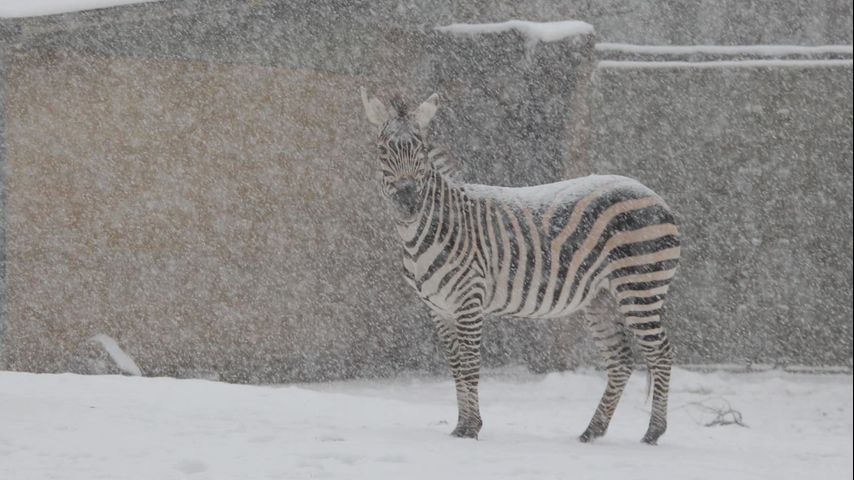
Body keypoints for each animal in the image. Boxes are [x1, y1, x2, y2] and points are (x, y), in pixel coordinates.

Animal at [361, 88, 680, 445]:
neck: (427, 231)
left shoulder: (469, 300)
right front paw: (461, 427)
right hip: (601, 297)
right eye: (383, 149)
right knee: (621, 360)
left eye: (420, 149)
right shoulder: (438, 308)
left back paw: (653, 432)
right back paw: (592, 430)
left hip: (640, 286)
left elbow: (470, 365)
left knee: (661, 353)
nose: (408, 201)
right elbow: (456, 365)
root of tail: (654, 196)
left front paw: (471, 429)